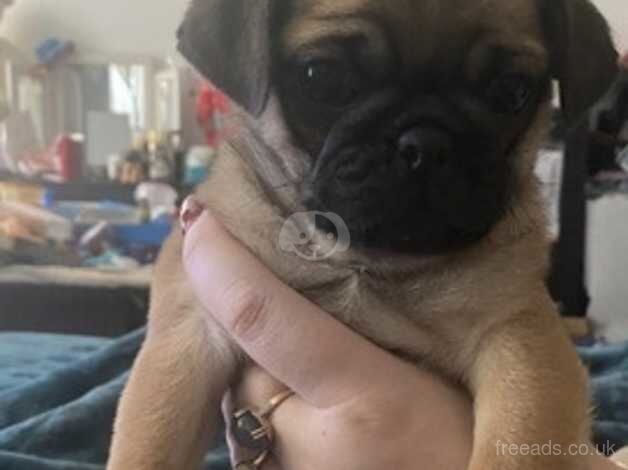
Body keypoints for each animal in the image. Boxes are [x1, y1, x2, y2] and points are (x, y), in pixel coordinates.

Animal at [106, 0, 620, 470]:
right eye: (322, 78)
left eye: (511, 92)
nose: (426, 143)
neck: (361, 261)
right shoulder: (187, 339)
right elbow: (148, 445)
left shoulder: (521, 341)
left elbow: (518, 444)